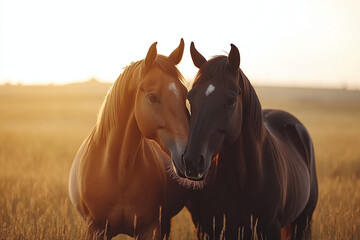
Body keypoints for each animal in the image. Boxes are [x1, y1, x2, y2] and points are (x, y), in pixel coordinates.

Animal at [68, 38, 191, 239]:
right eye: (152, 97)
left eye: (184, 94)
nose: (190, 157)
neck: (119, 174)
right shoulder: (96, 229)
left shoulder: (150, 229)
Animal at [173, 43, 320, 240]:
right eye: (190, 97)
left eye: (231, 101)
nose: (191, 162)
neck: (239, 180)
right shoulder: (205, 228)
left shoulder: (271, 229)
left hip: (304, 221)